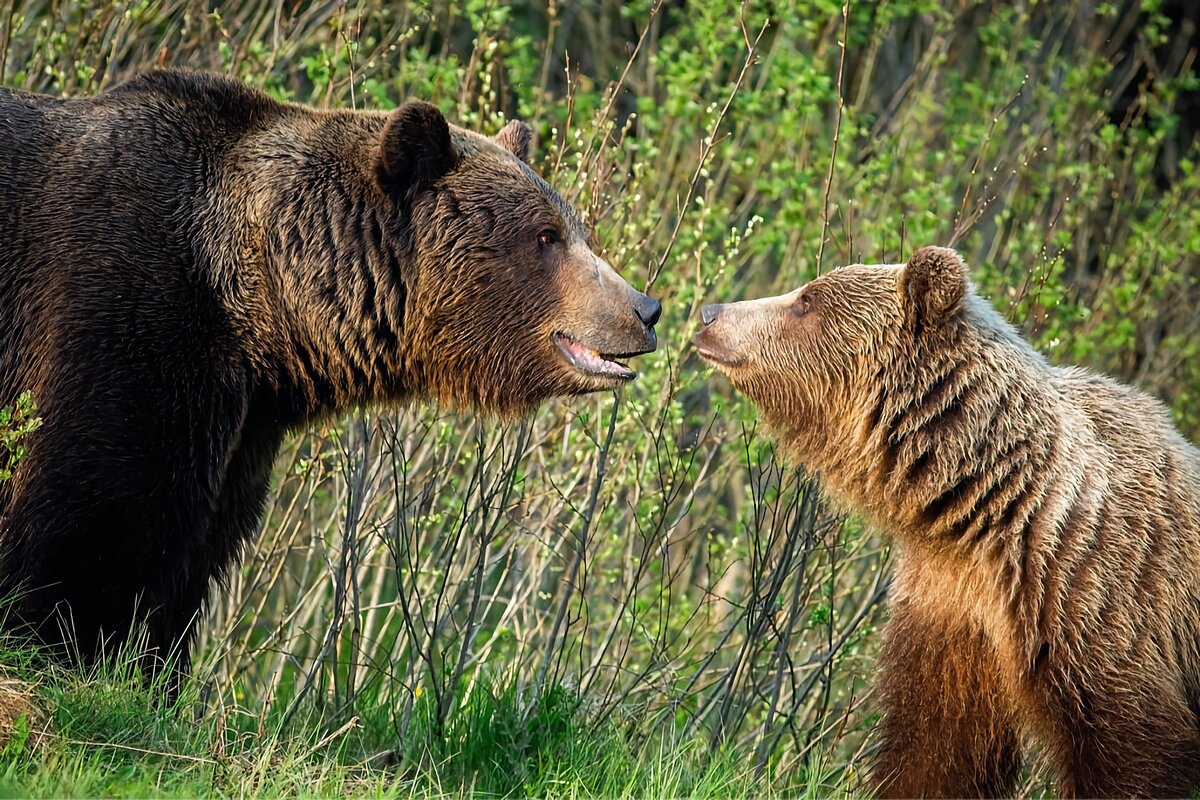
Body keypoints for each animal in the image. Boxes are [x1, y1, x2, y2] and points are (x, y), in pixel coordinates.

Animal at [0, 71, 667, 681]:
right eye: (545, 236)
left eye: (576, 227)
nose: (645, 309)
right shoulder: (124, 315)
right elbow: (92, 523)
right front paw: (67, 656)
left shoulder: (244, 422)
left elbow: (193, 553)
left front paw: (154, 673)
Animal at [696, 247, 1200, 796]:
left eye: (806, 300)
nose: (710, 314)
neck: (989, 506)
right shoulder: (950, 607)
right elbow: (936, 748)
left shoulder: (1098, 600)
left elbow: (1129, 752)